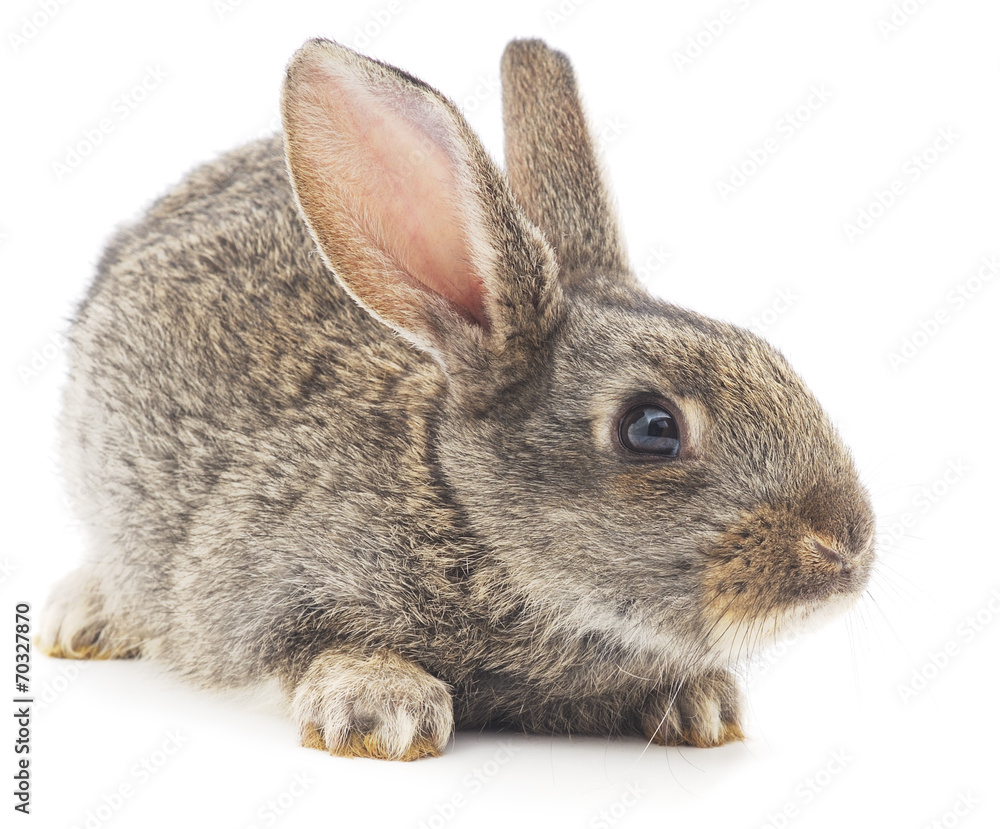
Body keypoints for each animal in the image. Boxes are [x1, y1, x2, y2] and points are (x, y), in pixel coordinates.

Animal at [39, 37, 877, 761]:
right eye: (651, 427)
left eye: (772, 355)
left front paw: (701, 703)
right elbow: (317, 646)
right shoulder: (261, 589)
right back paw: (84, 618)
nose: (847, 546)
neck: (460, 505)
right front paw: (383, 709)